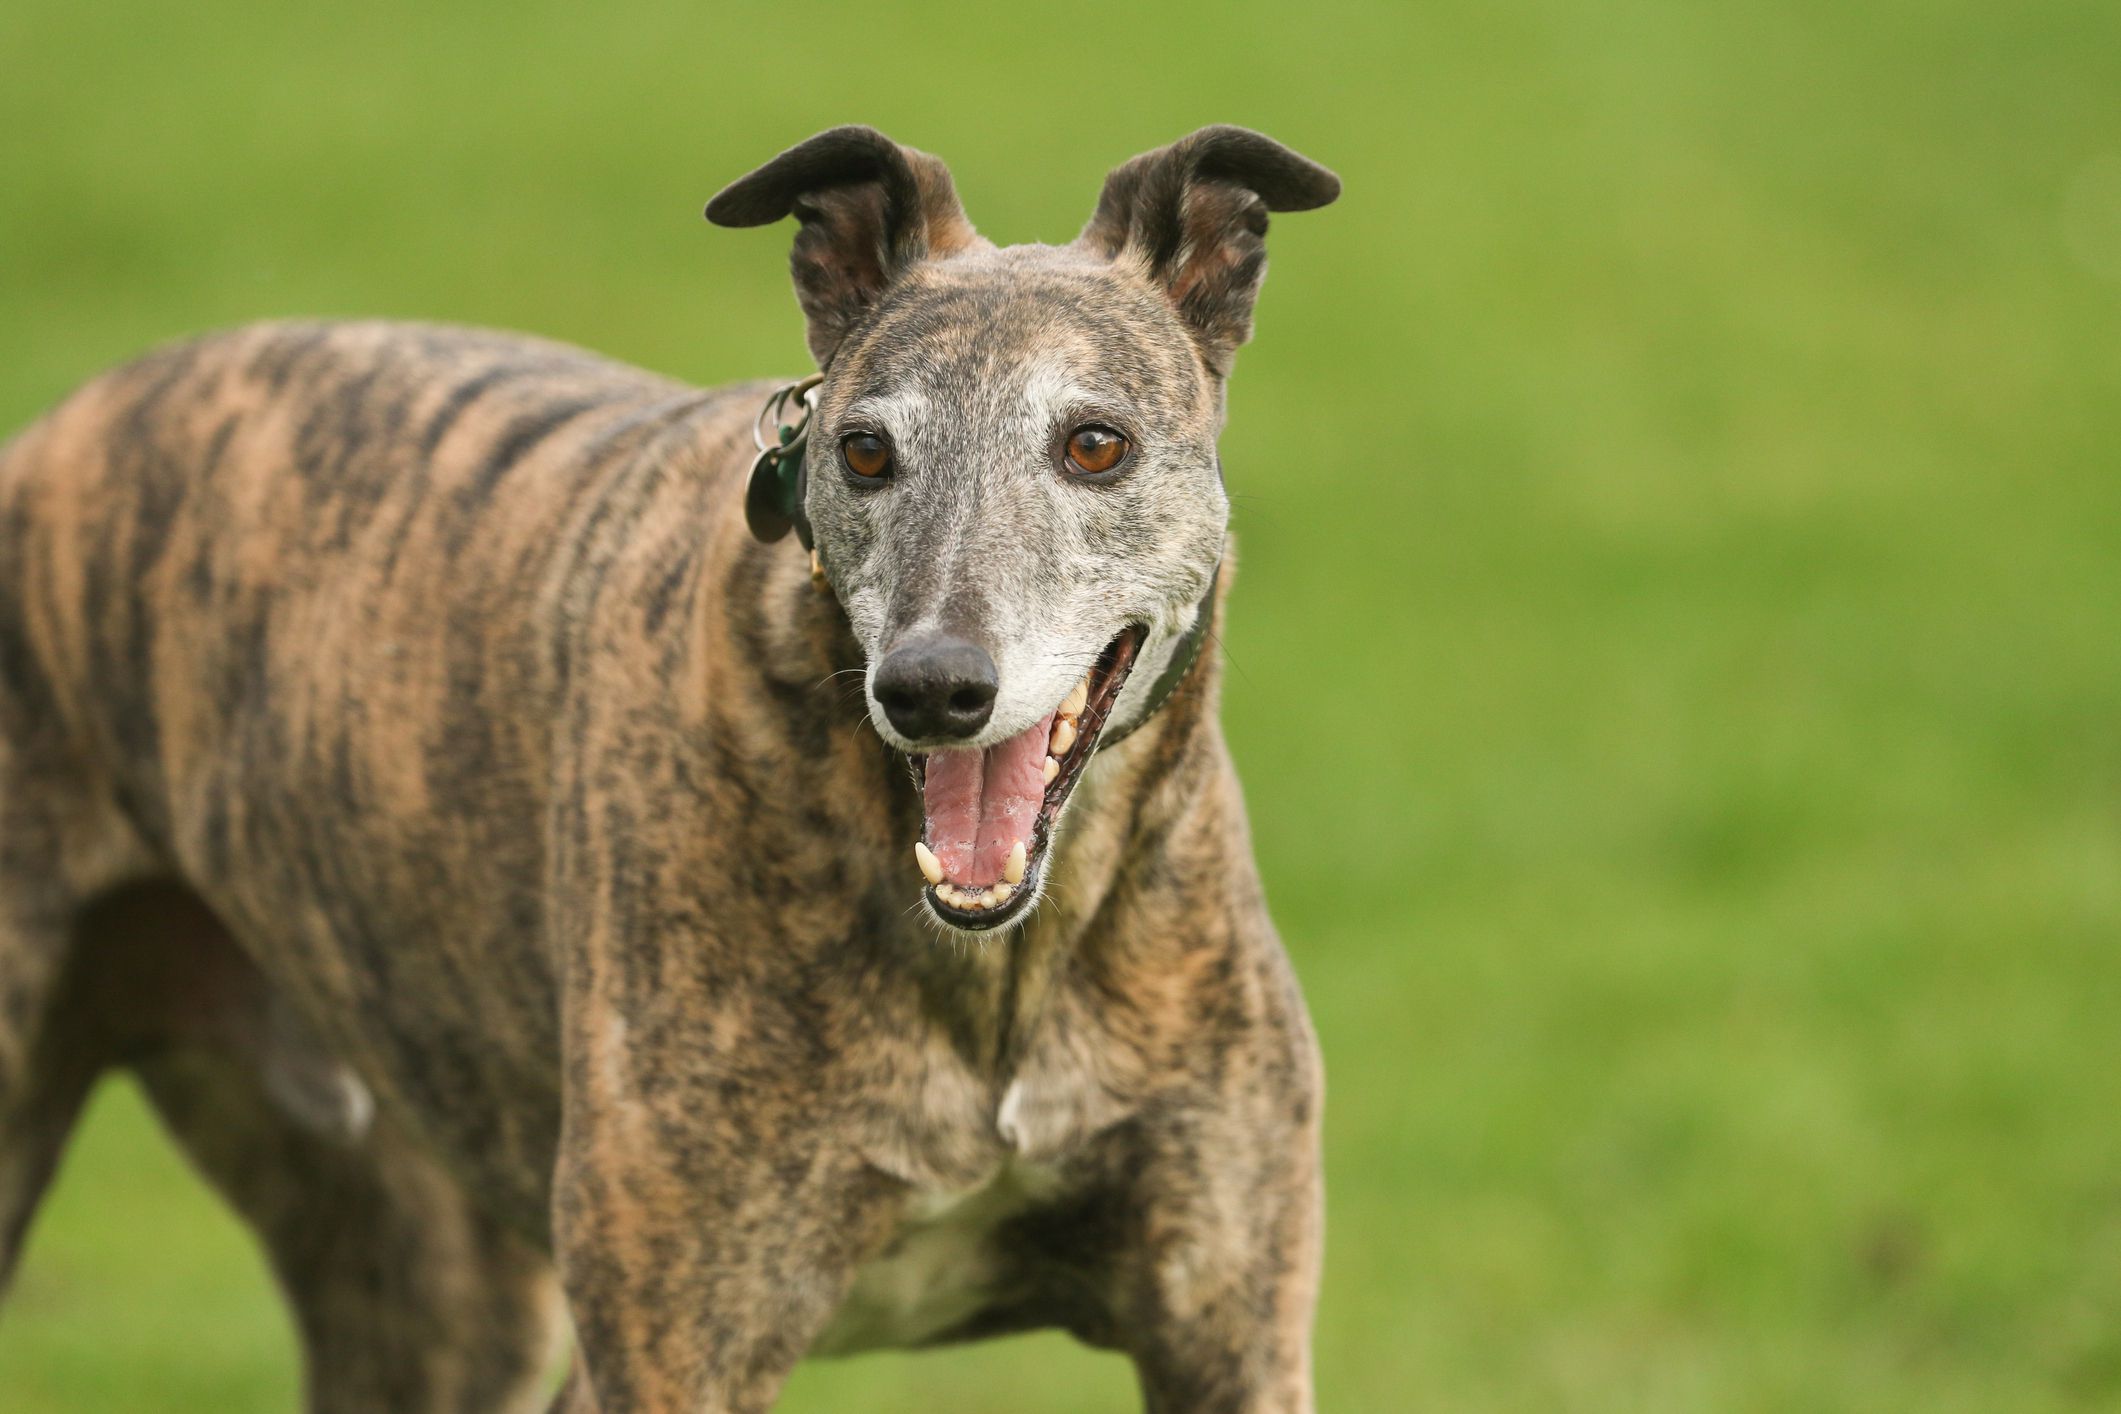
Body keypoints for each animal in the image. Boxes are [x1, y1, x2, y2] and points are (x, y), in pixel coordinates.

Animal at [4, 127, 1340, 1407]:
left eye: (1094, 444)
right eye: (864, 451)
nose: (930, 688)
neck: (995, 977)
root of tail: (59, 429)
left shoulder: (1230, 1331)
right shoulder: (671, 1346)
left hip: (434, 1290)